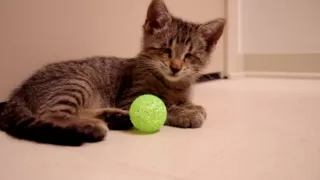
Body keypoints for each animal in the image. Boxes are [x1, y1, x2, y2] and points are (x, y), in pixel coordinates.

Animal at [0, 0, 225, 146]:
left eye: (189, 56)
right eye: (166, 50)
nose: (176, 67)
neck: (173, 85)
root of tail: (18, 92)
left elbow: (184, 102)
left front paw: (191, 106)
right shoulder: (130, 97)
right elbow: (163, 107)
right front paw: (186, 113)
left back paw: (113, 117)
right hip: (77, 83)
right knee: (50, 114)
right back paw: (91, 127)